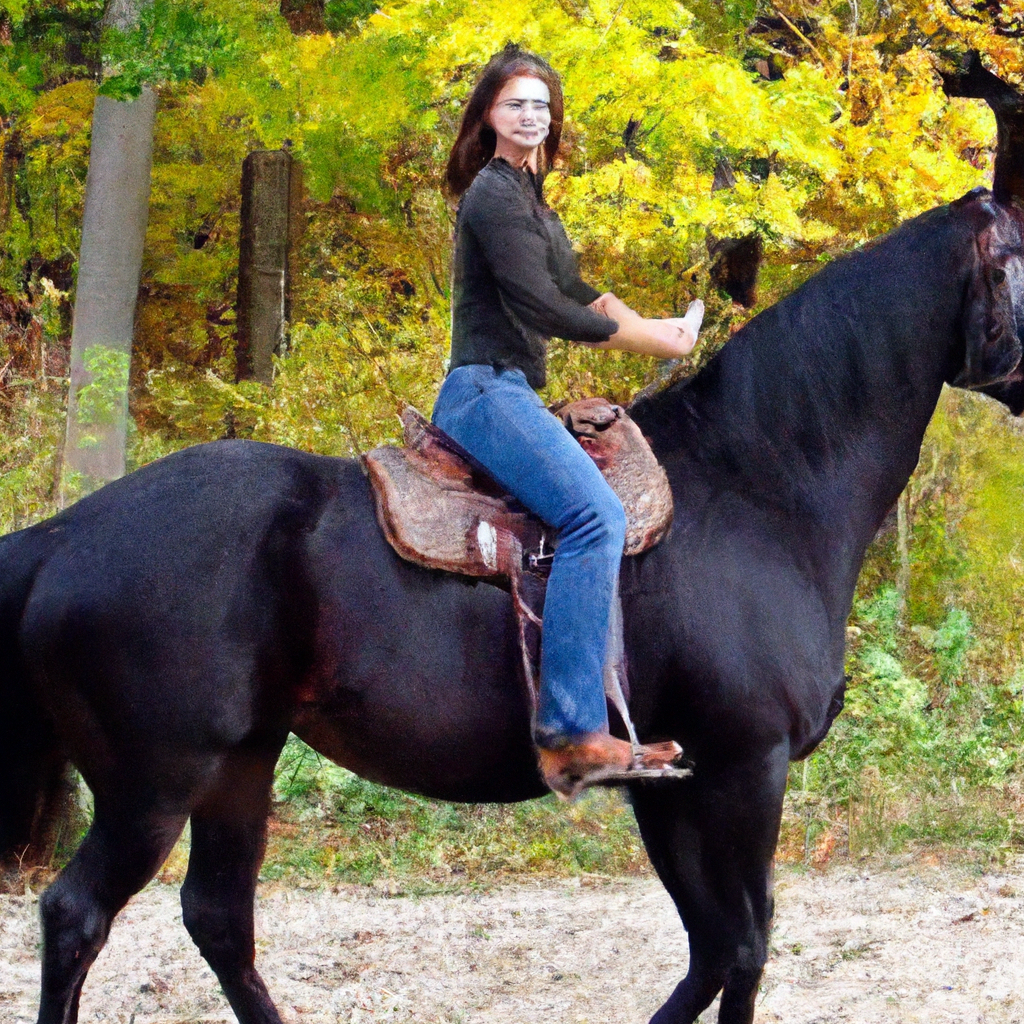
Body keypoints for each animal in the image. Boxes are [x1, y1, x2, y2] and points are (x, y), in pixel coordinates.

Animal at [0, 184, 1019, 1024]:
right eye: (1021, 259)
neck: (757, 488)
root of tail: (61, 535)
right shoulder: (744, 768)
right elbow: (744, 951)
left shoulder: (677, 780)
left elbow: (714, 950)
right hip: (153, 782)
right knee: (76, 914)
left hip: (240, 766)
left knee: (217, 919)